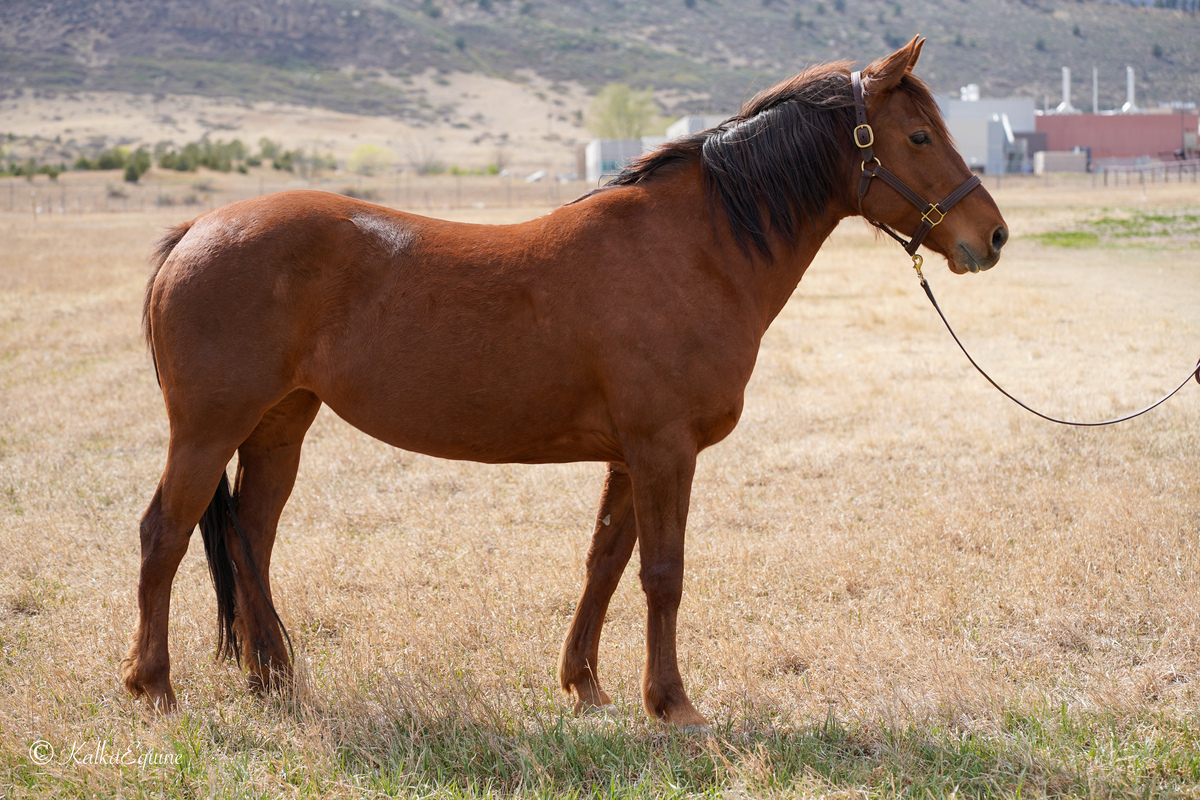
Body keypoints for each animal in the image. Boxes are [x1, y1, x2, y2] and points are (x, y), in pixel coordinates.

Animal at [122, 37, 1007, 729]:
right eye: (919, 135)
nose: (992, 236)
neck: (693, 249)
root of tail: (195, 232)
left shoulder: (629, 455)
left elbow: (605, 564)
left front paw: (585, 686)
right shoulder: (663, 450)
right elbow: (662, 574)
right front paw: (673, 703)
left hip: (281, 424)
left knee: (251, 536)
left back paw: (273, 679)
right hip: (207, 430)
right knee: (166, 533)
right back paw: (154, 687)